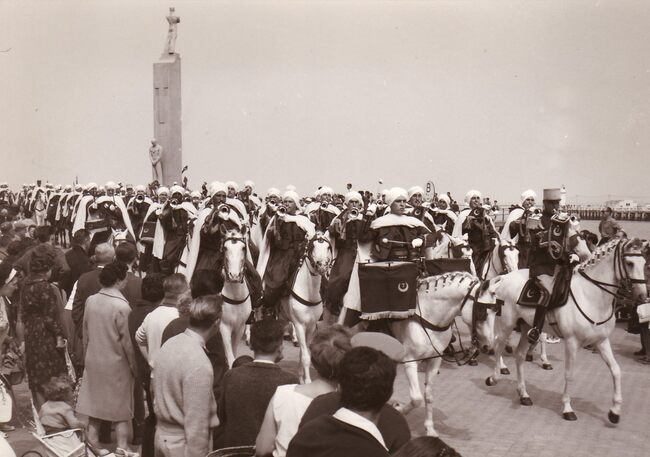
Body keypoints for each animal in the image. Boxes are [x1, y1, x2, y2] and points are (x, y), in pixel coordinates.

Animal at [280, 233, 333, 384]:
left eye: (328, 247)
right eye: (312, 246)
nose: (322, 266)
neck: (309, 293)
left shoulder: (310, 326)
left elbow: (302, 354)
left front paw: (301, 379)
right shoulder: (299, 325)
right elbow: (305, 357)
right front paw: (307, 382)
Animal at [390, 271, 499, 436]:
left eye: (495, 312)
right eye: (482, 312)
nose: (488, 346)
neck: (427, 315)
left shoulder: (434, 360)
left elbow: (428, 396)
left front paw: (429, 428)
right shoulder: (410, 361)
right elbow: (416, 398)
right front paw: (399, 409)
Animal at [485, 238, 648, 422]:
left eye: (644, 263)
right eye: (629, 263)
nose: (643, 297)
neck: (591, 296)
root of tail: (505, 277)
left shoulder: (601, 341)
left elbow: (616, 370)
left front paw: (615, 411)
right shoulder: (571, 342)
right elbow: (569, 374)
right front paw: (568, 408)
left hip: (527, 326)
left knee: (519, 355)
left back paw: (524, 394)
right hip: (507, 323)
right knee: (498, 346)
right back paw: (494, 376)